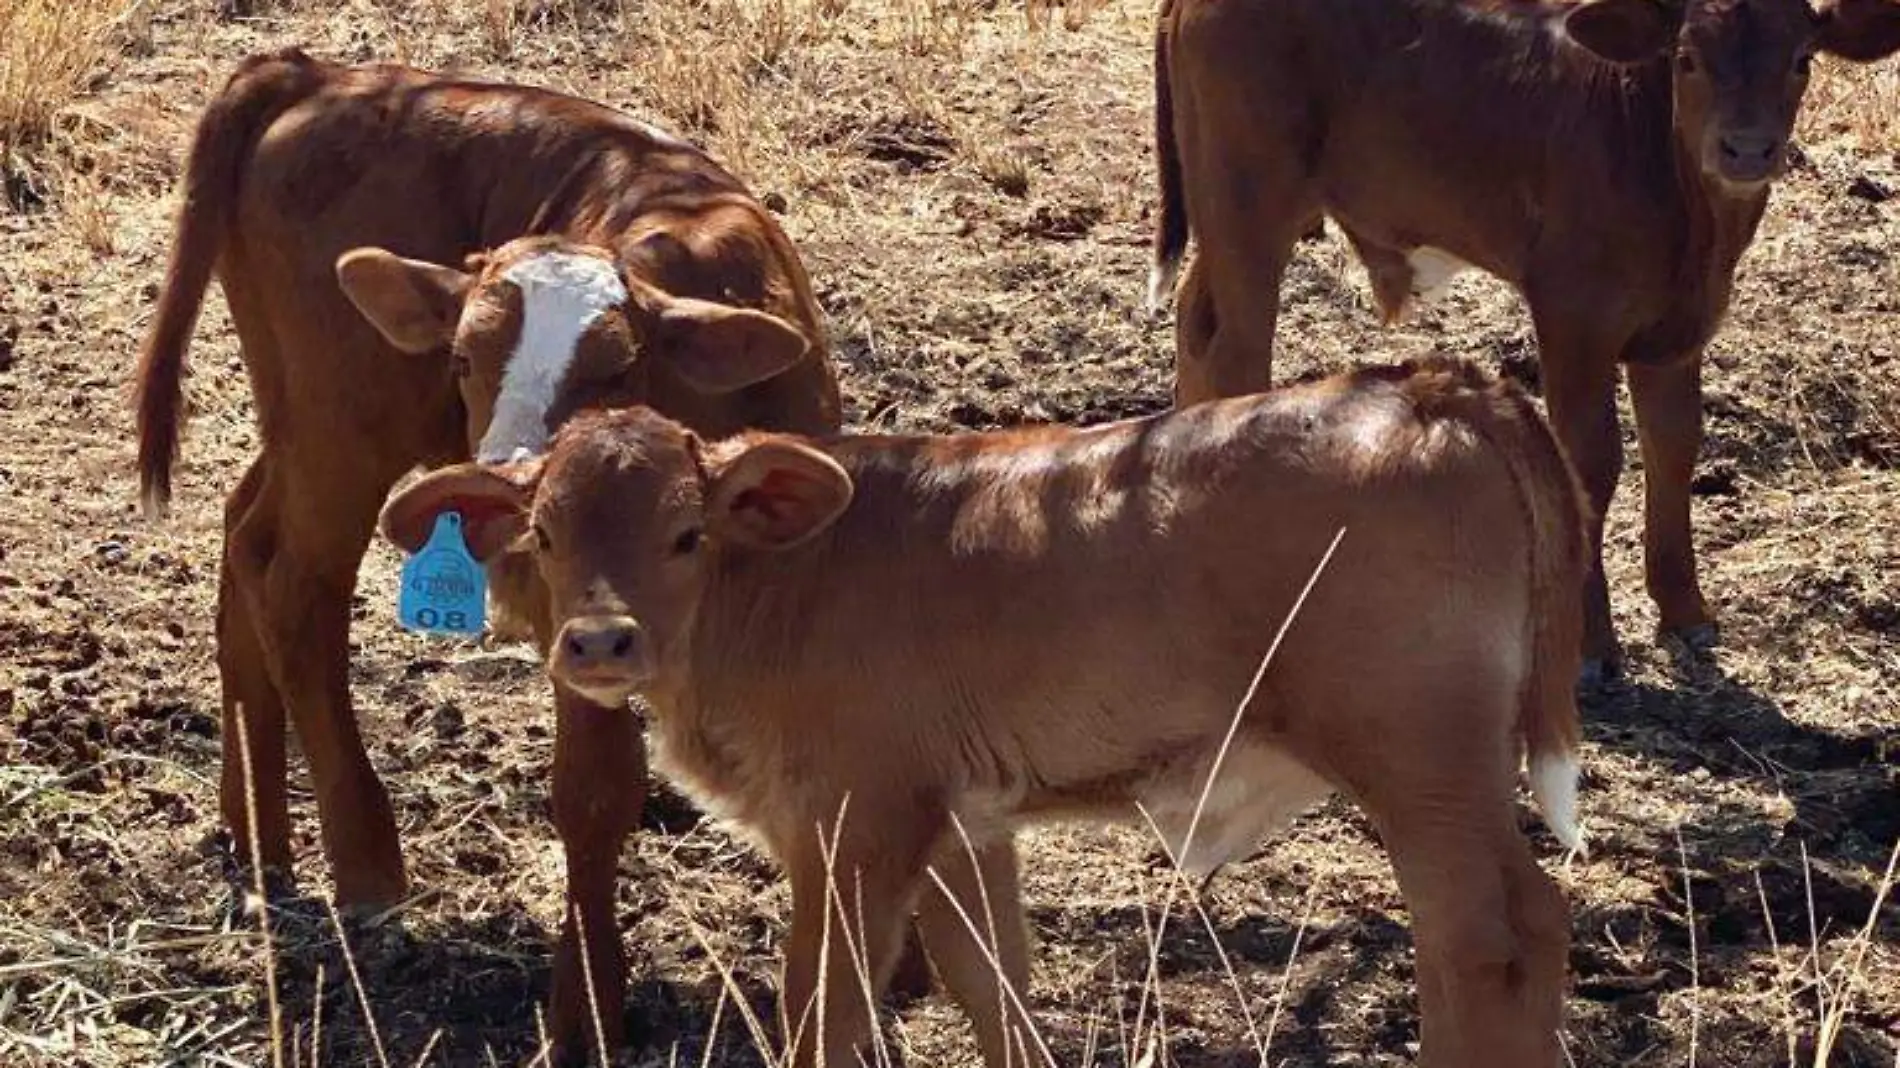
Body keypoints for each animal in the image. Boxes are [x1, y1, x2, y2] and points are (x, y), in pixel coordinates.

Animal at [130, 47, 843, 1048]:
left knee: (245, 533)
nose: (507, 486)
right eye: (463, 359)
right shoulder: (576, 615)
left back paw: (259, 836)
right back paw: (364, 857)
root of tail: (322, 73)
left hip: (305, 424)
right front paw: (584, 1009)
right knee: (294, 587)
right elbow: (595, 791)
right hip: (343, 428)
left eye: (618, 366)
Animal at [381, 355, 1588, 1064]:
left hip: (1419, 758)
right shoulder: (962, 826)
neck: (782, 586)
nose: (598, 641)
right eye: (544, 533)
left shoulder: (857, 824)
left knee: (1488, 935)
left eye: (688, 532)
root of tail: (1424, 385)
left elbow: (825, 1004)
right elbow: (991, 983)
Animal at [1147, 0, 1900, 676]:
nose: (1745, 148)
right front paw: (1591, 644)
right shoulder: (1574, 317)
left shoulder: (1680, 331)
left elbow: (1674, 447)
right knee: (1237, 353)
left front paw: (1685, 611)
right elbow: (1591, 462)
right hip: (1249, 206)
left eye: (1801, 60)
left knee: (1197, 326)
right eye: (1687, 58)